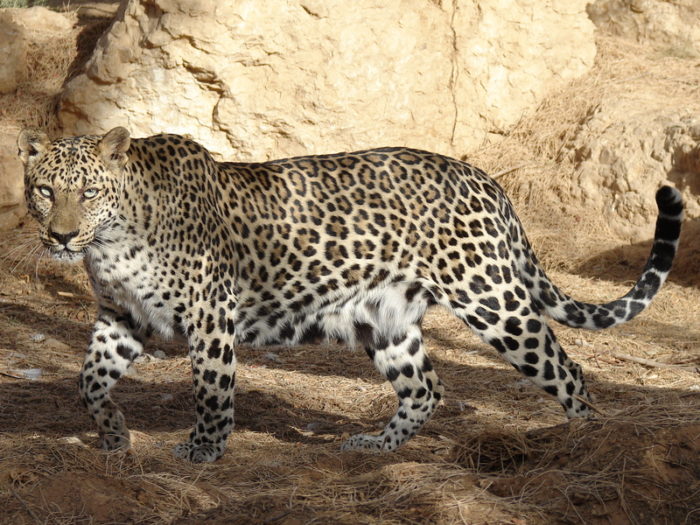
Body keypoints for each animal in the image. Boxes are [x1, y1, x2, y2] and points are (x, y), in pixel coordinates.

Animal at [17, 125, 684, 460]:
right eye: (46, 190)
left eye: (88, 192)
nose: (62, 235)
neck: (114, 240)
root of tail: (487, 181)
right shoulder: (119, 317)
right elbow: (88, 381)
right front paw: (113, 435)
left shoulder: (210, 316)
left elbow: (211, 390)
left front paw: (204, 450)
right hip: (385, 321)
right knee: (426, 387)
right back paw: (376, 447)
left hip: (491, 298)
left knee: (567, 370)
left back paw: (587, 442)